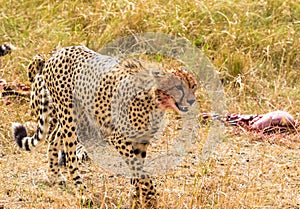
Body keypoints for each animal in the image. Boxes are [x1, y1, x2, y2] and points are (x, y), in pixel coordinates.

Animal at [12, 46, 198, 206]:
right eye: (178, 87)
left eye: (193, 86)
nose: (191, 101)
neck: (155, 101)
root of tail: (58, 52)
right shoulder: (119, 139)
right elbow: (140, 171)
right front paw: (150, 198)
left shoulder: (140, 142)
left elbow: (137, 172)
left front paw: (137, 199)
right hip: (70, 116)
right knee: (70, 156)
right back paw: (83, 193)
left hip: (76, 117)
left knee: (53, 138)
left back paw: (54, 176)